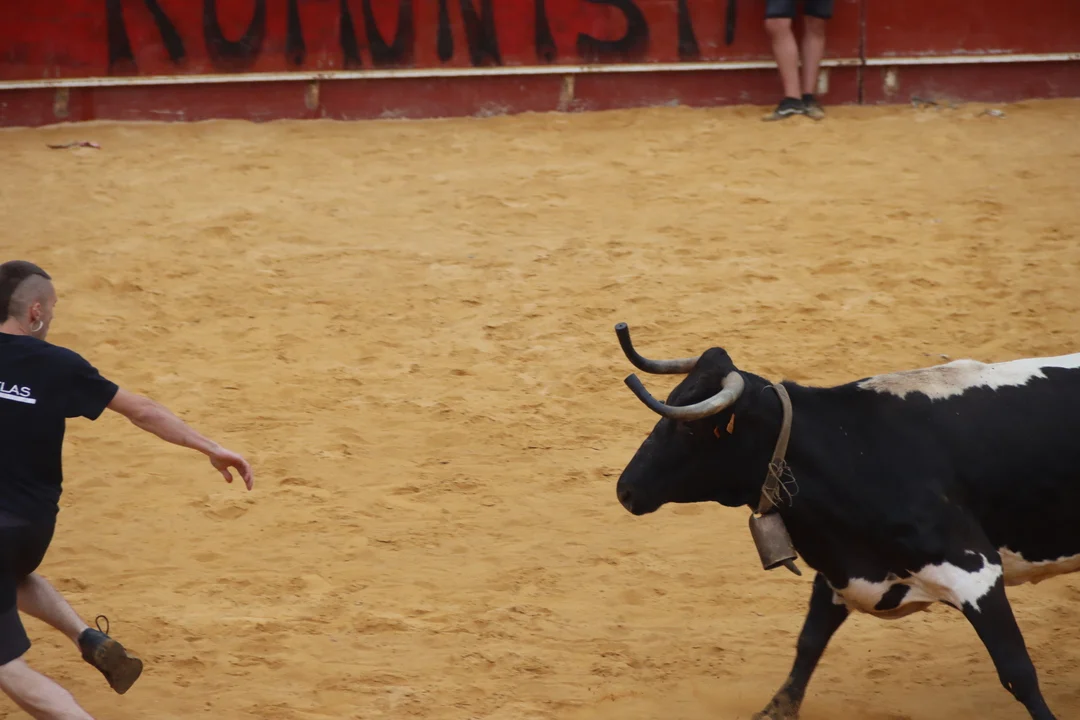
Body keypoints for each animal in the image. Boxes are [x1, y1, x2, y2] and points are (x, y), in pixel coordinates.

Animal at [611, 322, 1080, 720]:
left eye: (690, 429)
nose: (625, 490)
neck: (853, 450)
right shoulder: (840, 573)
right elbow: (809, 642)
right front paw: (775, 709)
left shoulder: (975, 573)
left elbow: (1018, 671)